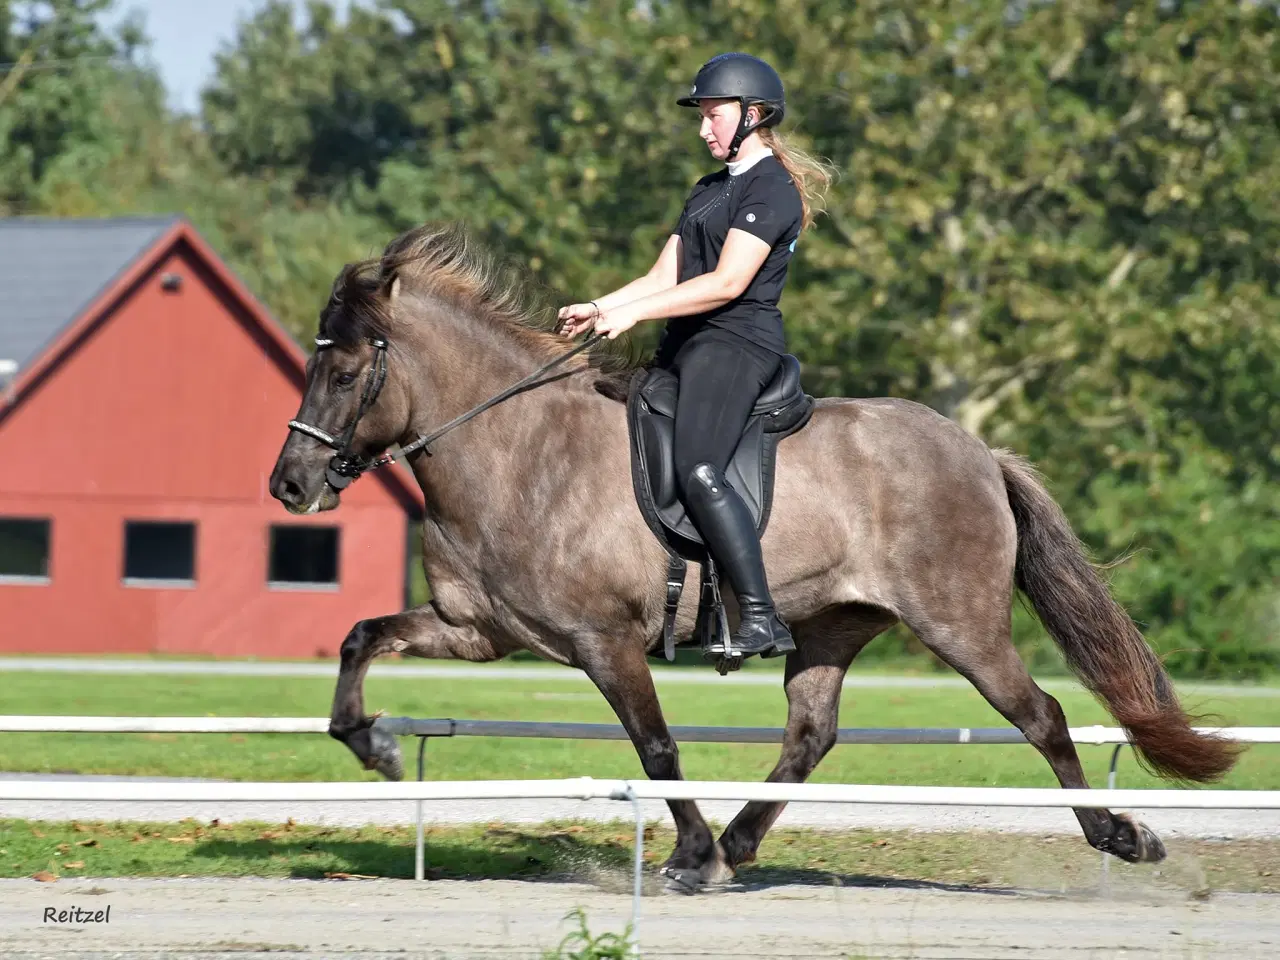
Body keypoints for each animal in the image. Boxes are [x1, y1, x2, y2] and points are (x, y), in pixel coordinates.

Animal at [267, 221, 1239, 890]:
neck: (515, 448)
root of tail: (978, 454)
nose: (291, 485)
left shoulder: (603, 642)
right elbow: (361, 636)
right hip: (834, 624)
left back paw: (1119, 835)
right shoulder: (478, 631)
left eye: (347, 373)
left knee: (1042, 716)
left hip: (961, 624)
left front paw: (687, 851)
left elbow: (656, 746)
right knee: (811, 734)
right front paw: (374, 746)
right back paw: (738, 846)